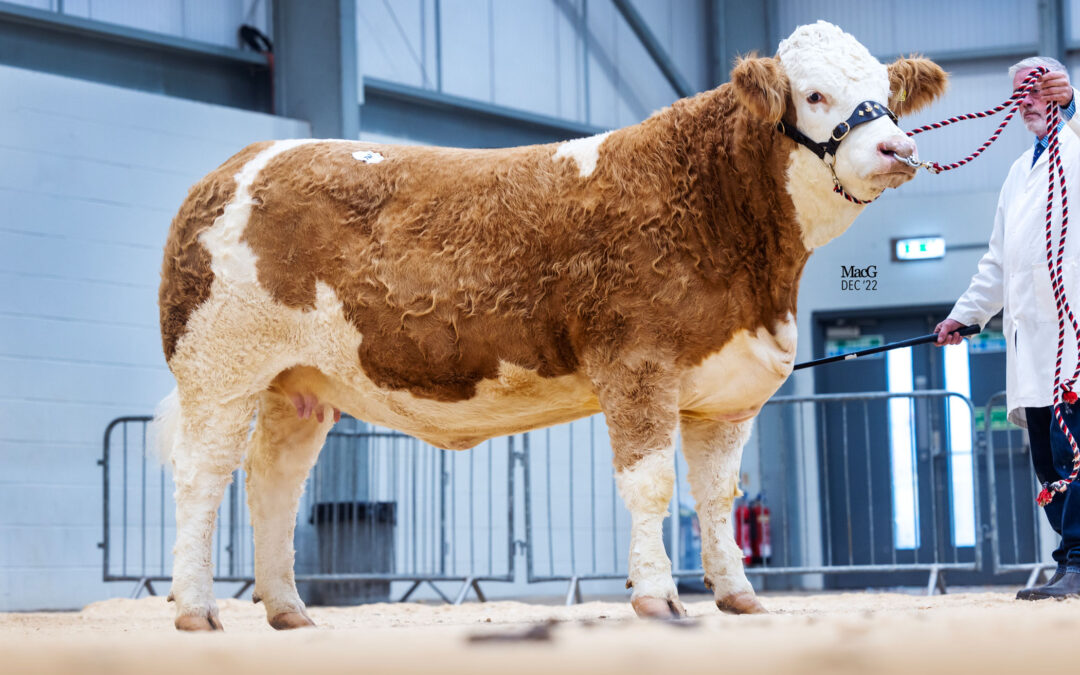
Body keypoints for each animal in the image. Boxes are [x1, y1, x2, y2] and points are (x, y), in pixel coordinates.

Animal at [152, 22, 946, 630]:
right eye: (814, 94)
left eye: (886, 94)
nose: (897, 149)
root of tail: (243, 160)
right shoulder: (636, 363)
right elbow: (652, 485)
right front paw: (657, 599)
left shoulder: (727, 389)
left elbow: (717, 496)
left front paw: (739, 596)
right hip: (221, 369)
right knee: (202, 478)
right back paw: (196, 611)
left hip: (300, 386)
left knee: (272, 484)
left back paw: (289, 611)